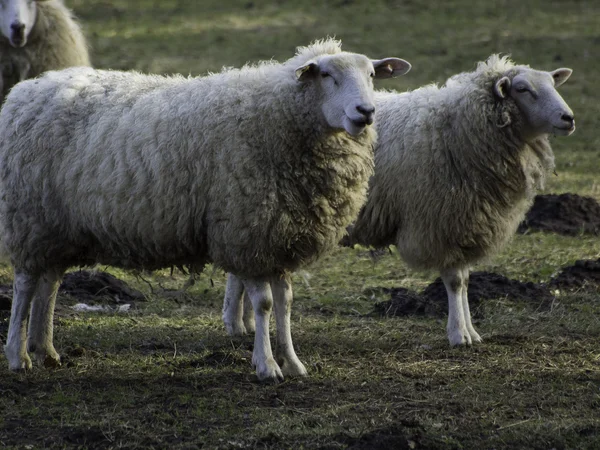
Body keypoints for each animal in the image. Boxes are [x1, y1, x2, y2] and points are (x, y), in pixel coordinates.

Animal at [0, 39, 412, 384]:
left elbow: (285, 305)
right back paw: (19, 356)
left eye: (372, 75)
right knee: (25, 286)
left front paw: (293, 362)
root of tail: (26, 90)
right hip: (28, 218)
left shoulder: (280, 237)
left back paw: (46, 350)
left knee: (49, 285)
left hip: (55, 228)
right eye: (327, 75)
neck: (280, 116)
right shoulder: (247, 235)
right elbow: (263, 305)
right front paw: (267, 366)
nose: (366, 112)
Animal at [224, 53, 576, 362]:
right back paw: (237, 322)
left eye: (552, 84)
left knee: (241, 271)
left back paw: (242, 324)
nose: (569, 118)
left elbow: (464, 280)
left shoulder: (465, 220)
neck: (457, 126)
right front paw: (458, 334)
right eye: (523, 89)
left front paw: (472, 332)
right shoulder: (442, 220)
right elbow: (454, 282)